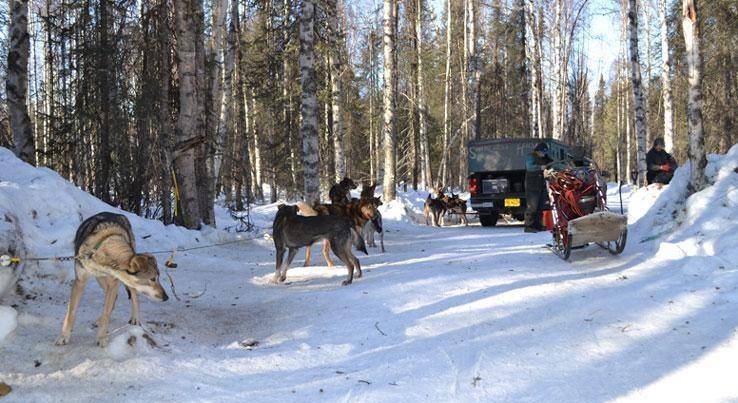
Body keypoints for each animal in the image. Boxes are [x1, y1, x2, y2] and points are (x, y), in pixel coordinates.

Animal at [56, 213, 168, 348]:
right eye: (152, 279)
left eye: (158, 278)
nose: (166, 297)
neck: (102, 251)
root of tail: (119, 214)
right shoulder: (80, 282)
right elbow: (71, 314)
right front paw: (64, 337)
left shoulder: (114, 283)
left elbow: (106, 313)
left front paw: (101, 338)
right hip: (100, 279)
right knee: (114, 298)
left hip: (118, 283)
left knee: (132, 295)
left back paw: (135, 318)